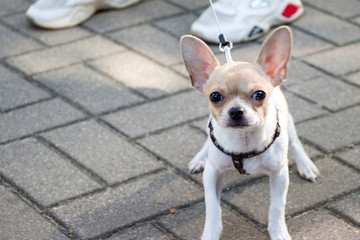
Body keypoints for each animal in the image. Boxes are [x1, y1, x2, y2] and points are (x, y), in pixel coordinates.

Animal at [181, 25, 320, 239]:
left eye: (259, 94)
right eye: (215, 96)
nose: (236, 111)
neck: (244, 141)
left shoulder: (279, 176)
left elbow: (277, 207)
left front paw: (279, 232)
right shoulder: (212, 174)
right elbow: (212, 207)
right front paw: (210, 233)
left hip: (288, 121)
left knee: (296, 143)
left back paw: (306, 165)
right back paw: (200, 158)